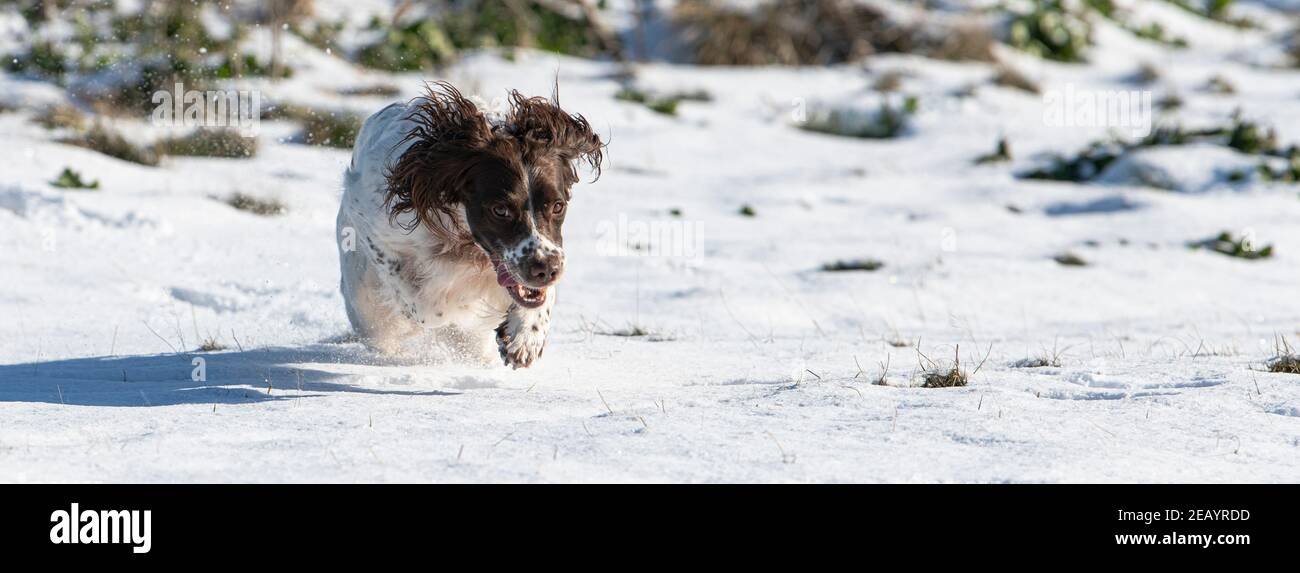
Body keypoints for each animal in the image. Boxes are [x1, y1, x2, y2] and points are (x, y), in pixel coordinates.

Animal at [332, 81, 600, 366]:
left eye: (558, 206)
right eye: (500, 210)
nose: (546, 269)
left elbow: (539, 296)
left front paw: (525, 335)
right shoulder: (373, 226)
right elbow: (429, 309)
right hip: (364, 303)